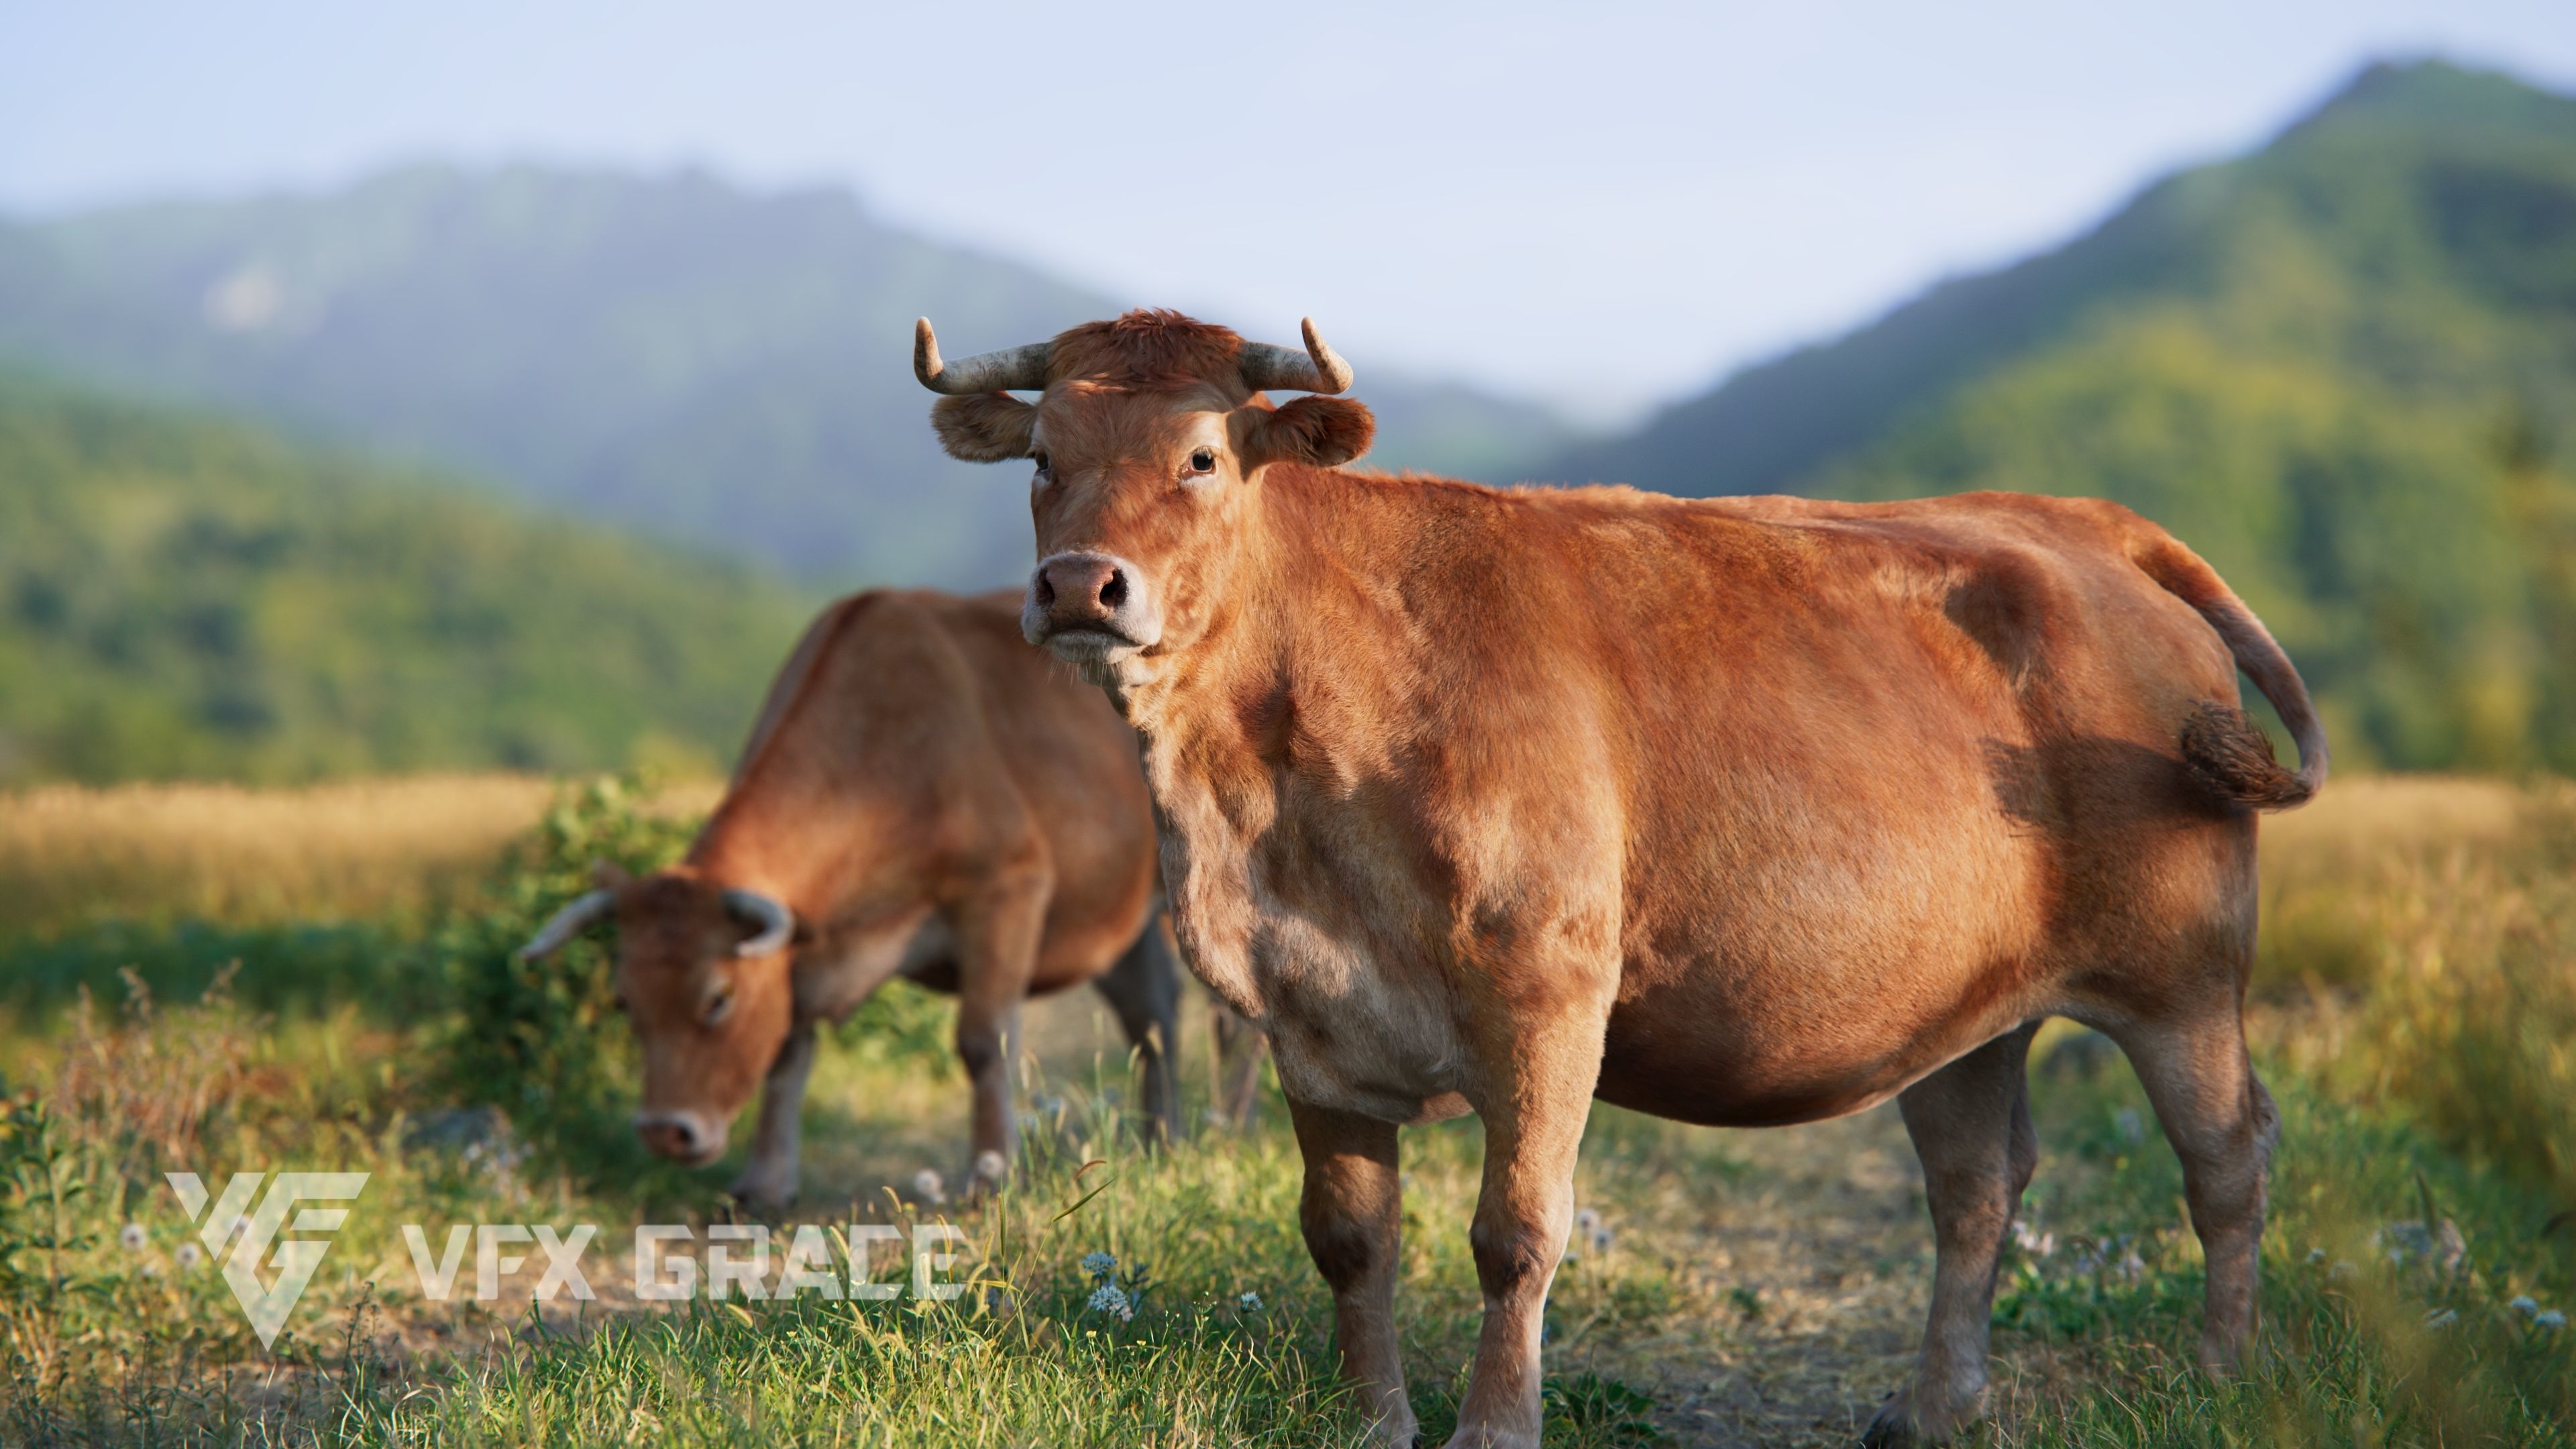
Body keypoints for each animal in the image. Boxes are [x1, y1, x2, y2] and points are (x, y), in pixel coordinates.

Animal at [519, 588, 1185, 1209]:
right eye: (624, 1000)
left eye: (718, 998)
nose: (664, 1132)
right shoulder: (796, 953)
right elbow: (787, 1055)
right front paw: (765, 1184)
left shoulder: (1006, 888)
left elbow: (983, 1042)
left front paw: (990, 1178)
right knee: (1152, 1015)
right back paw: (1161, 1143)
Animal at [912, 310, 2328, 1447]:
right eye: (1043, 461)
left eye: (1202, 457)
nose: (1079, 586)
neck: (1262, 801)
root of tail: (2080, 525)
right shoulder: (1305, 1010)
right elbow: (1349, 1239)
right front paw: (1376, 1422)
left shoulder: (1545, 988)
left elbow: (1516, 1234)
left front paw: (1494, 1427)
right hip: (1967, 1005)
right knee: (1978, 1186)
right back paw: (1931, 1409)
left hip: (2183, 972)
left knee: (2226, 1157)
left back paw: (2217, 1379)